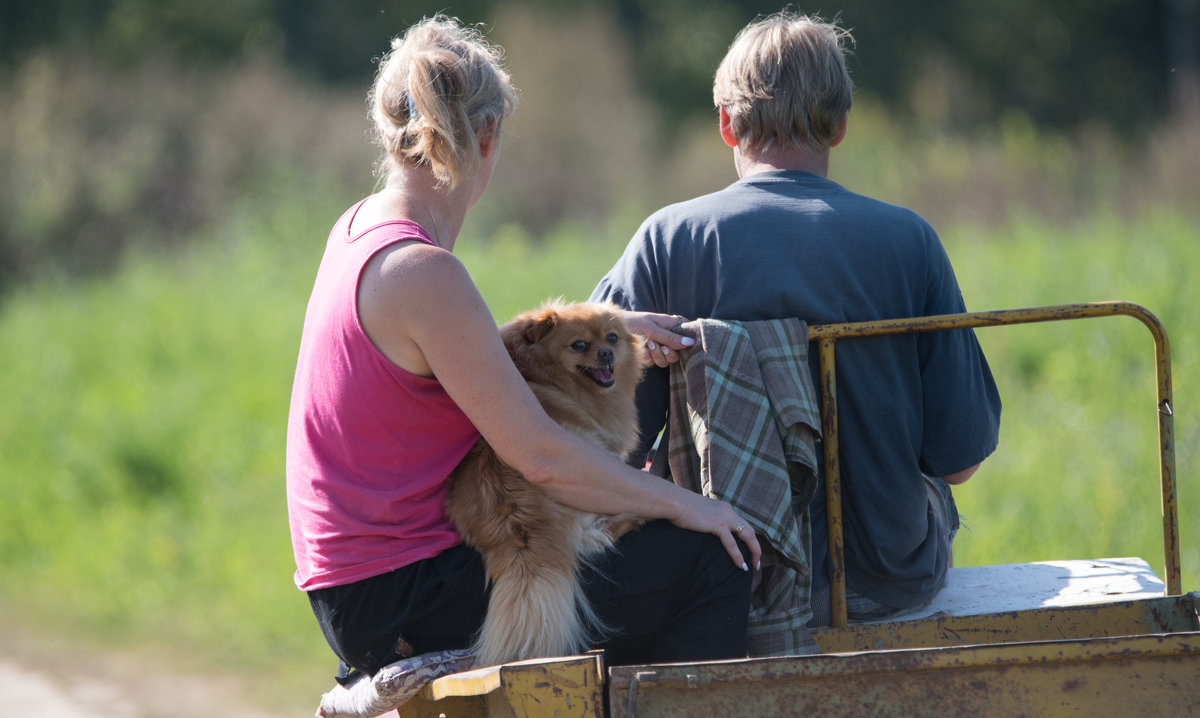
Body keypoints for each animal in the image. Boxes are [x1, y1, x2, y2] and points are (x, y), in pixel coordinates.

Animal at [444, 301, 648, 667]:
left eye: (611, 337)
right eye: (579, 345)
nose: (607, 352)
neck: (544, 372)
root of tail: (517, 521)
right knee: (595, 534)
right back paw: (633, 518)